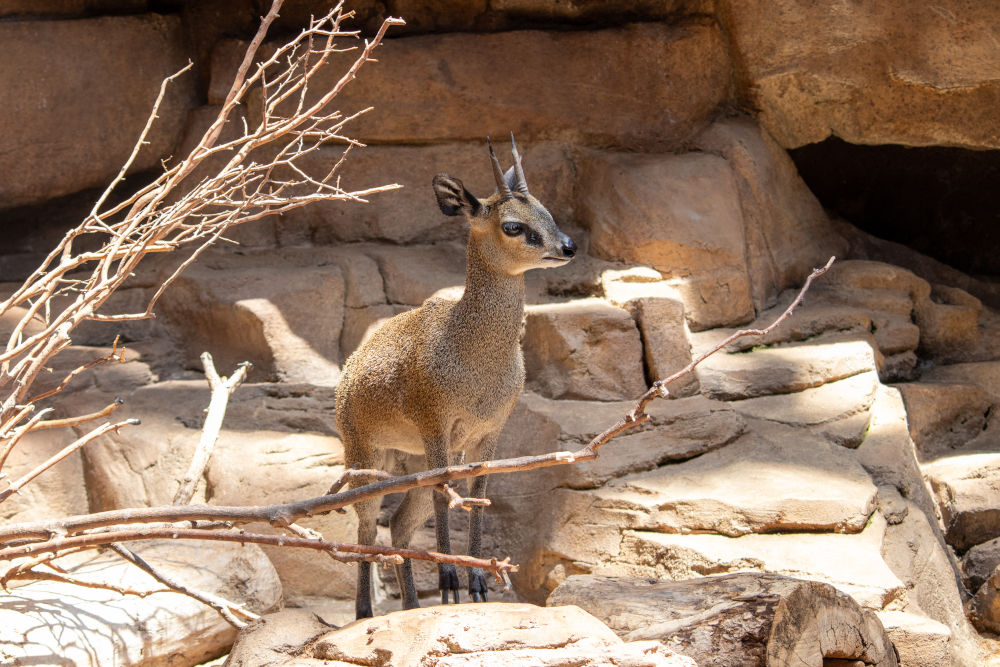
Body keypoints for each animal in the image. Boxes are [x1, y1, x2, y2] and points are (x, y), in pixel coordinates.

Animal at [334, 137, 576, 620]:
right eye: (513, 226)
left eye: (547, 210)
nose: (568, 246)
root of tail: (349, 373)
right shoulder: (436, 428)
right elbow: (446, 497)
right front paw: (449, 579)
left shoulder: (488, 436)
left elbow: (478, 496)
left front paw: (477, 582)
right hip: (365, 455)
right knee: (367, 524)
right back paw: (366, 612)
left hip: (409, 465)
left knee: (400, 525)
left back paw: (412, 606)